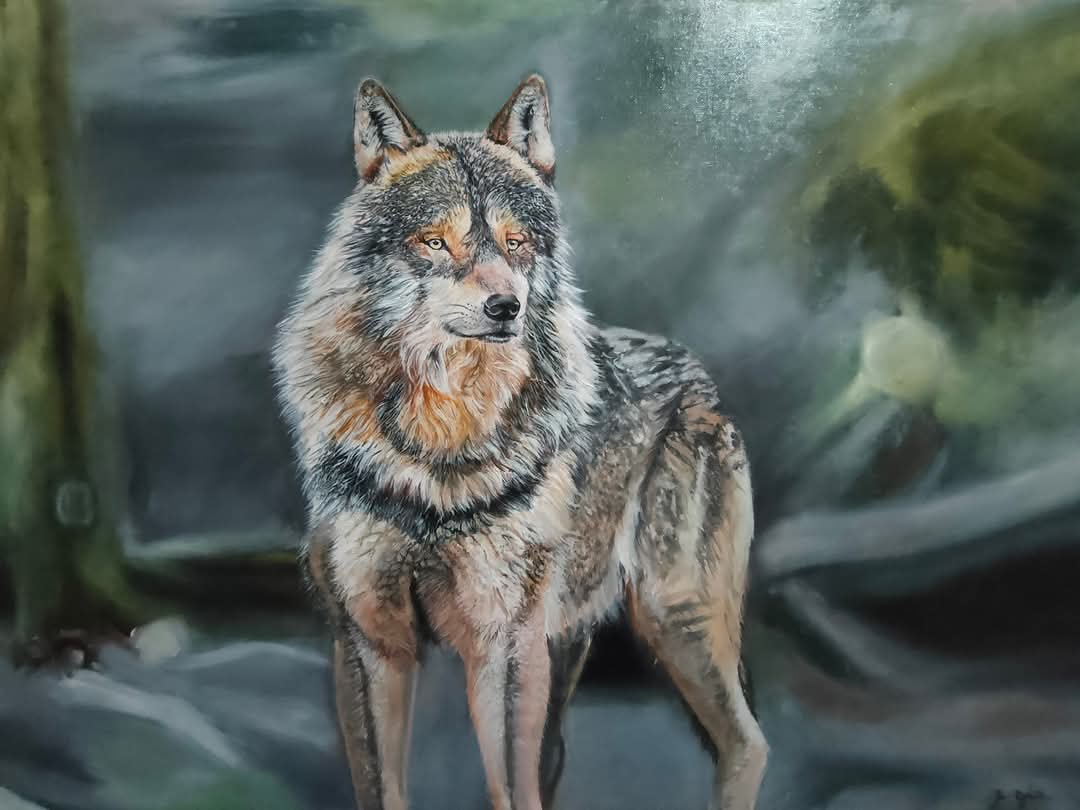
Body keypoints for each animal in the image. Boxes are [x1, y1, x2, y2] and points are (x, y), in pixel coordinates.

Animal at [273, 74, 767, 810]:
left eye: (517, 242)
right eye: (435, 242)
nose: (507, 306)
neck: (441, 448)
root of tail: (695, 373)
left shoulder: (502, 646)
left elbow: (511, 788)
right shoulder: (370, 640)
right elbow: (386, 789)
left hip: (671, 619)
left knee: (747, 744)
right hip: (571, 641)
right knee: (559, 755)